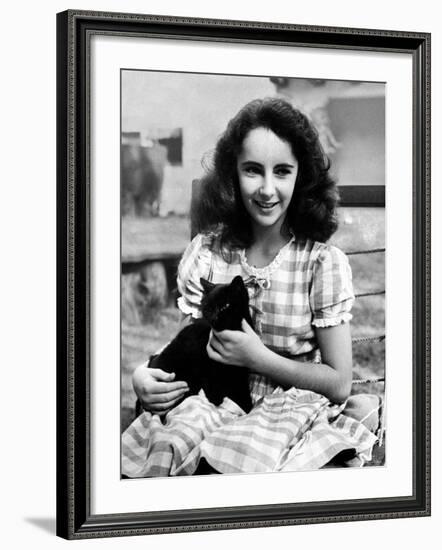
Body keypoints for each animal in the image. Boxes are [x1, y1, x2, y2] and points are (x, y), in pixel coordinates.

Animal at [148, 276, 252, 414]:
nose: (214, 317)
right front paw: (218, 400)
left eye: (225, 305)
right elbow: (214, 385)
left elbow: (241, 388)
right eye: (208, 308)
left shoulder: (241, 369)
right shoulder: (208, 370)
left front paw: (246, 405)